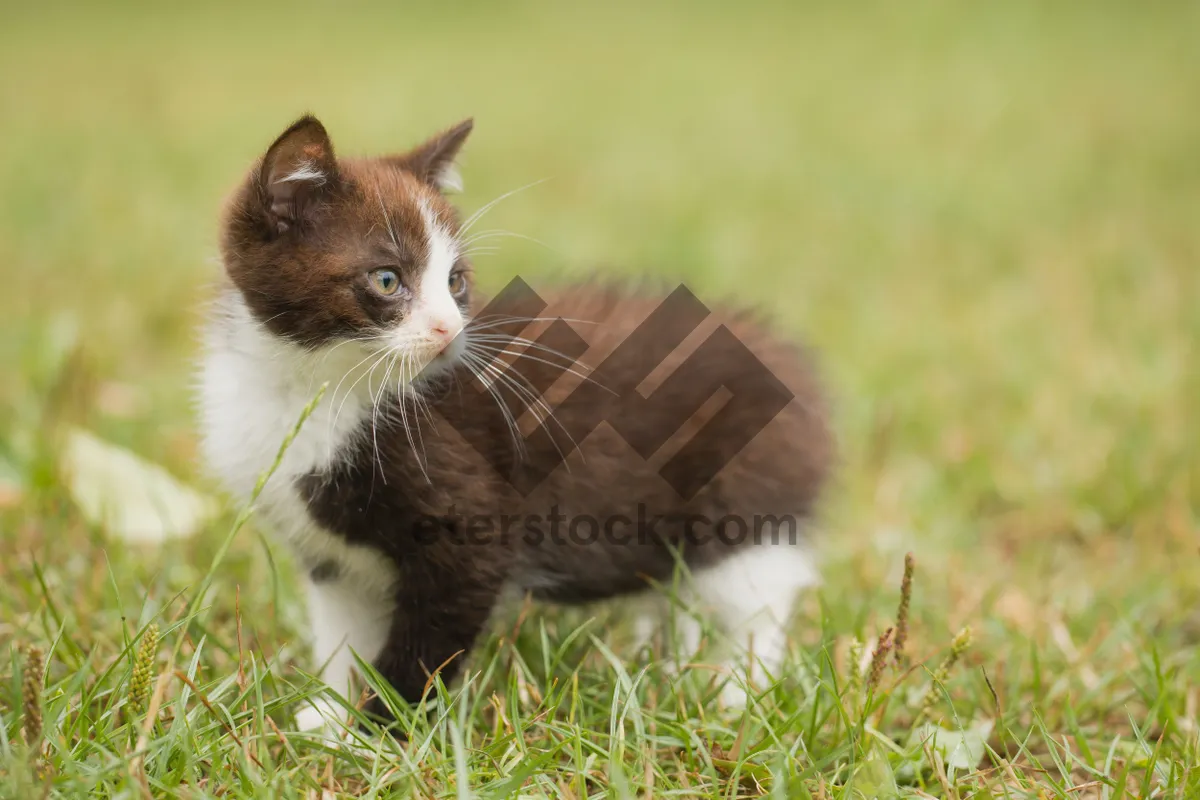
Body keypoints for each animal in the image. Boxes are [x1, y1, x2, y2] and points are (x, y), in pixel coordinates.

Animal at [196, 113, 835, 734]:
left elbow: (430, 635)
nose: (450, 330)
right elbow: (342, 628)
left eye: (454, 281)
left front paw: (381, 730)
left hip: (745, 498)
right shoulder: (328, 555)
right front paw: (330, 714)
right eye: (387, 280)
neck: (313, 385)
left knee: (757, 598)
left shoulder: (467, 520)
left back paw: (738, 695)